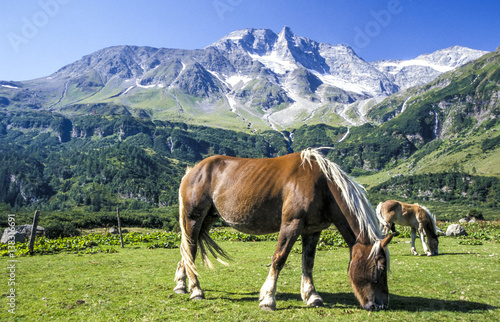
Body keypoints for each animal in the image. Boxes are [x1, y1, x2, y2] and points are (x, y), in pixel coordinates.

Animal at [174, 148, 392, 310]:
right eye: (380, 268)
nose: (380, 305)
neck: (322, 185)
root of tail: (192, 171)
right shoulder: (291, 224)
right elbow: (279, 258)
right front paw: (268, 299)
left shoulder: (313, 230)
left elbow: (308, 262)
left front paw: (312, 296)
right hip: (193, 219)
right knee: (190, 249)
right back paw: (196, 290)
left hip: (207, 219)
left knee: (187, 249)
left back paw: (181, 285)